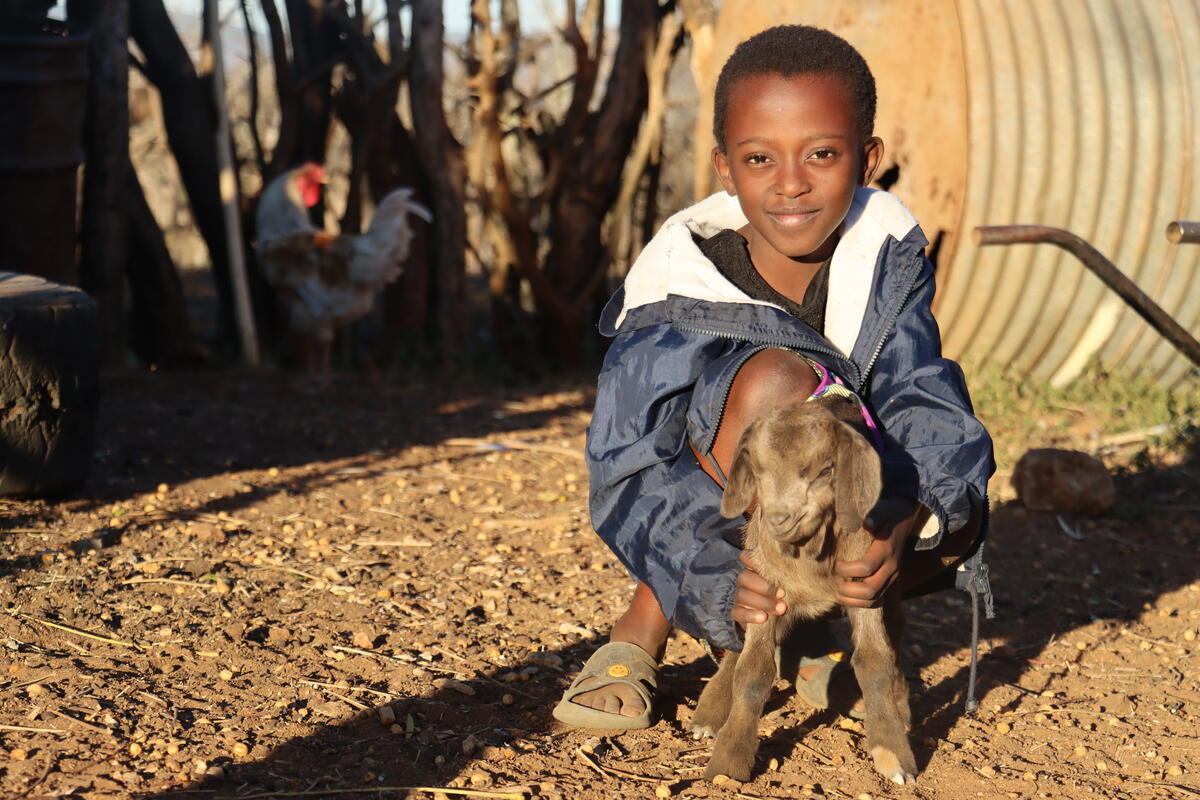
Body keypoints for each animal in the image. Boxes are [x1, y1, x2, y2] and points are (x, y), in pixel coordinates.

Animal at [690, 396, 917, 785]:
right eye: (758, 469)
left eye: (825, 471)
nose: (780, 519)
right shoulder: (767, 591)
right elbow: (753, 671)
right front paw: (730, 760)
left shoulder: (866, 587)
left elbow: (875, 661)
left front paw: (892, 751)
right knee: (737, 645)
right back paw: (710, 711)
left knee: (897, 634)